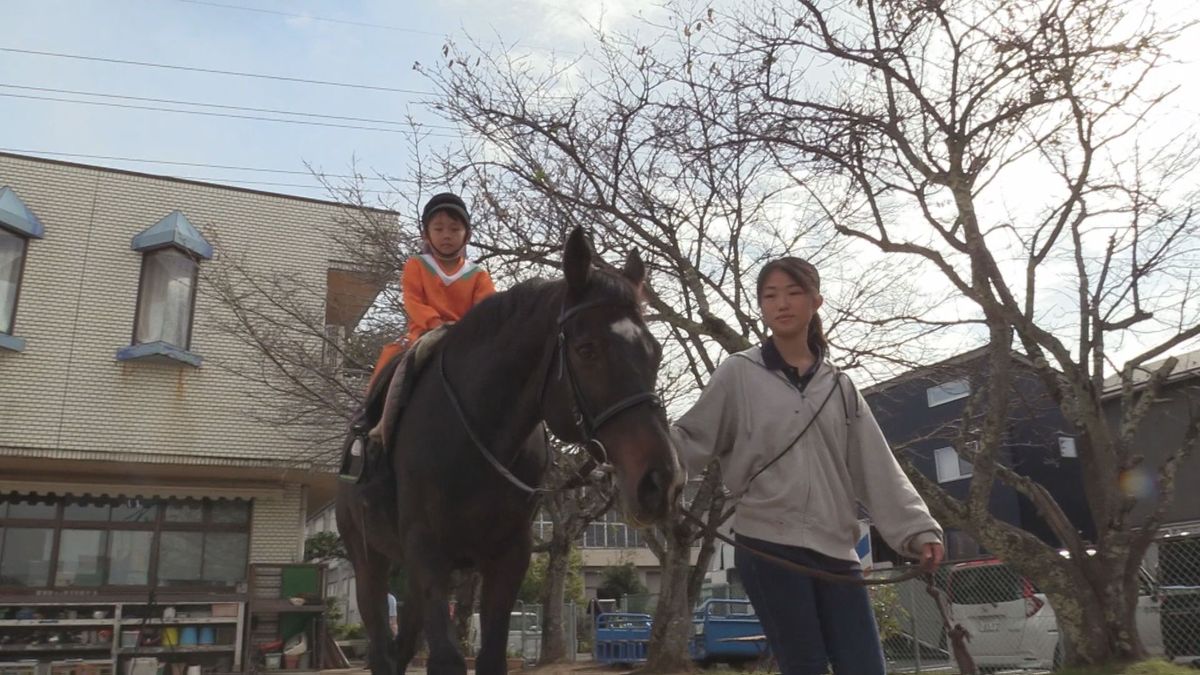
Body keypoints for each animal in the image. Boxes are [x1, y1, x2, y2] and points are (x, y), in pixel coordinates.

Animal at [333, 228, 686, 672]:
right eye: (587, 349)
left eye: (655, 352)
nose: (662, 480)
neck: (476, 437)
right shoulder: (427, 551)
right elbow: (447, 659)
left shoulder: (508, 556)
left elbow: (491, 657)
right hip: (368, 560)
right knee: (380, 644)